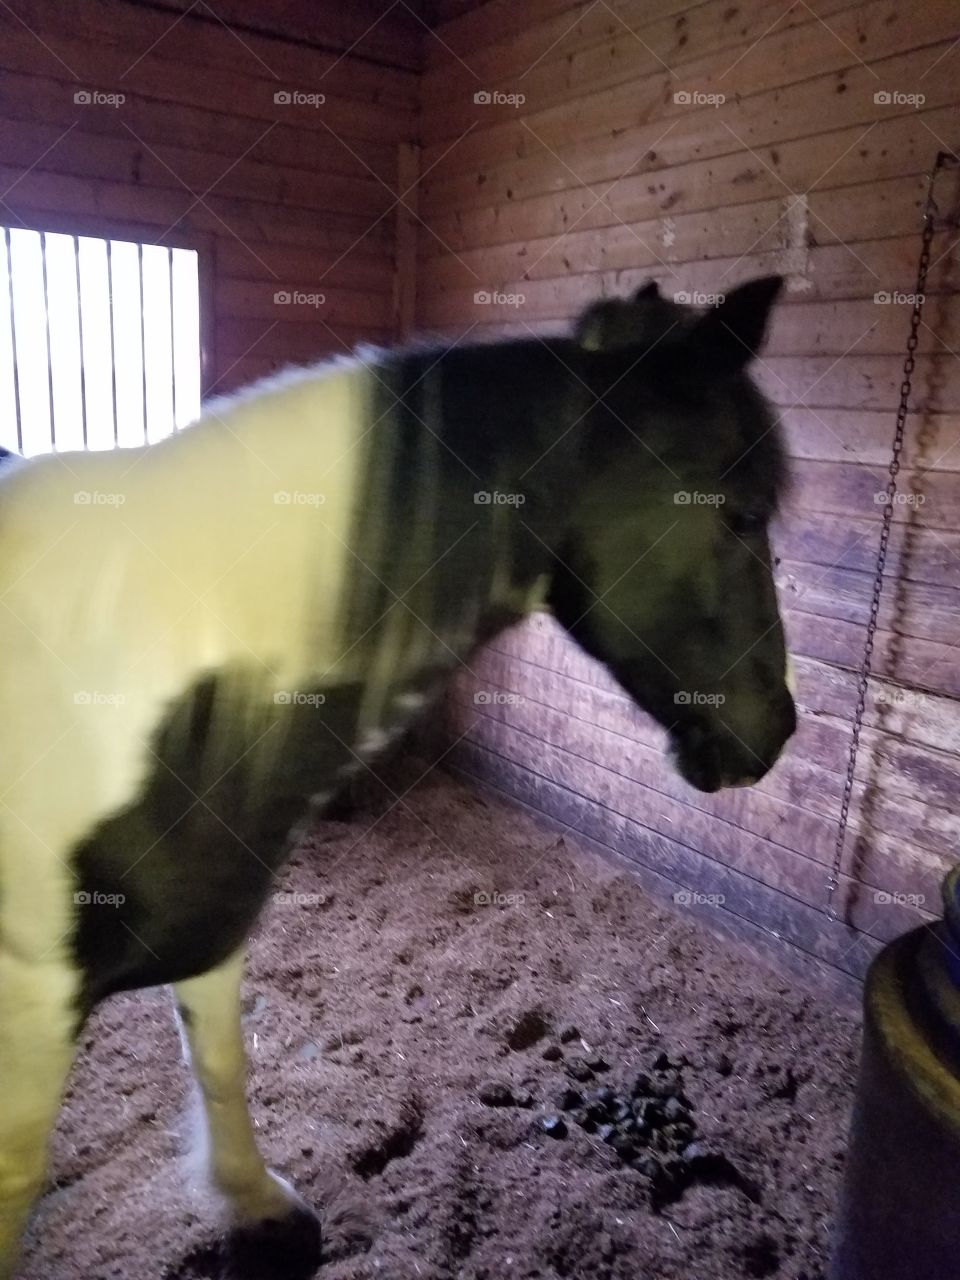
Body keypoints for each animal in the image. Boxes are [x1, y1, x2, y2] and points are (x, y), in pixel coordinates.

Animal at [0, 275, 795, 1278]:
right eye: (739, 515)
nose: (779, 731)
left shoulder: (214, 923)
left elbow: (223, 1065)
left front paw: (263, 1210)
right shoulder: (30, 998)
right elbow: (20, 1177)